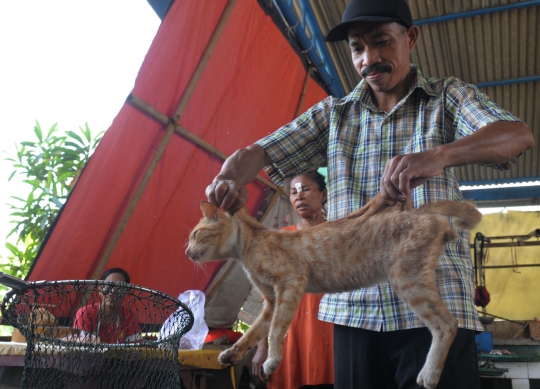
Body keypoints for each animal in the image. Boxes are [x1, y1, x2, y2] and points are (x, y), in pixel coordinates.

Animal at [186, 192, 480, 386]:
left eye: (195, 234)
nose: (187, 252)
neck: (246, 247)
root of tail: (420, 211)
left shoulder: (290, 281)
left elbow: (276, 330)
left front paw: (272, 360)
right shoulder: (270, 301)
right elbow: (255, 332)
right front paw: (231, 353)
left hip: (406, 279)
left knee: (447, 324)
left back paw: (429, 374)